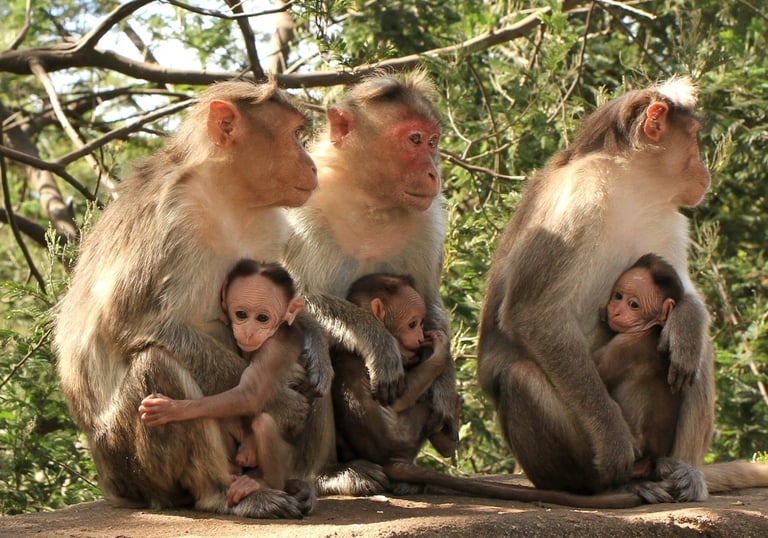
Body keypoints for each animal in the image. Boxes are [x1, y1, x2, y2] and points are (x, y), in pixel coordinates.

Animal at [139, 259, 306, 498]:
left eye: (263, 318)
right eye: (241, 314)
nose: (249, 331)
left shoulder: (276, 345)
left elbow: (249, 394)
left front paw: (171, 409)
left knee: (263, 423)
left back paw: (263, 482)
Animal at [282, 70, 460, 495]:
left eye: (433, 142)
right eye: (414, 140)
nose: (434, 172)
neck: (371, 200)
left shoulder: (427, 221)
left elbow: (430, 299)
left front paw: (445, 384)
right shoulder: (300, 208)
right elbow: (291, 297)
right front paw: (377, 340)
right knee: (313, 349)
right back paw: (330, 473)